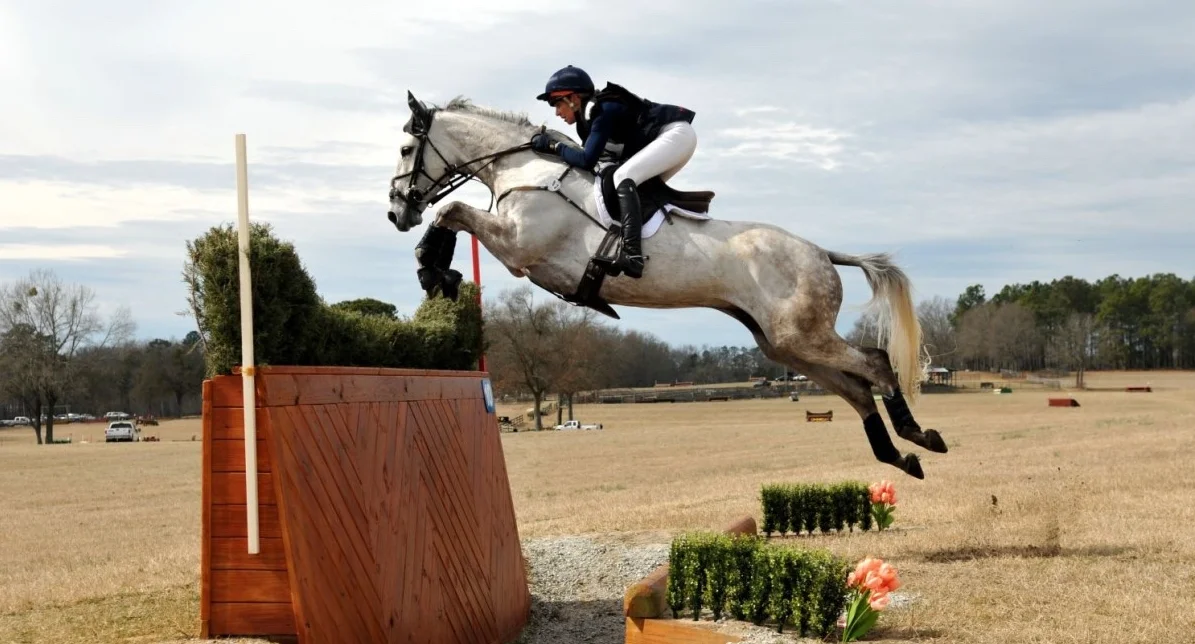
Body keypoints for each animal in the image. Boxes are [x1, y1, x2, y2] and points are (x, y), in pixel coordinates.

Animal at [385, 91, 947, 479]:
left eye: (407, 148)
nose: (395, 212)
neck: (524, 168)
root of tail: (821, 252)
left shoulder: (520, 247)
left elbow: (452, 211)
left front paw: (433, 267)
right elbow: (452, 214)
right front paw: (438, 271)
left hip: (802, 335)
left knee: (874, 364)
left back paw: (917, 433)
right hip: (783, 345)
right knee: (857, 388)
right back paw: (901, 457)